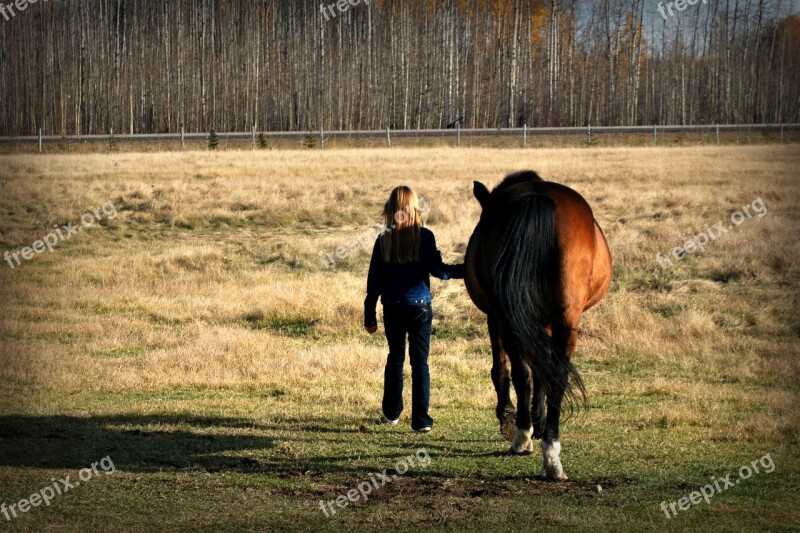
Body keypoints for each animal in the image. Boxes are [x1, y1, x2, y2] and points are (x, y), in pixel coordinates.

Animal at [462, 170, 612, 478]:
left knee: (525, 372)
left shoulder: (496, 317)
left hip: (511, 319)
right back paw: (550, 453)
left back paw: (524, 437)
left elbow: (504, 369)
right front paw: (536, 421)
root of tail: (537, 197)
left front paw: (511, 417)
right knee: (554, 375)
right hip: (565, 321)